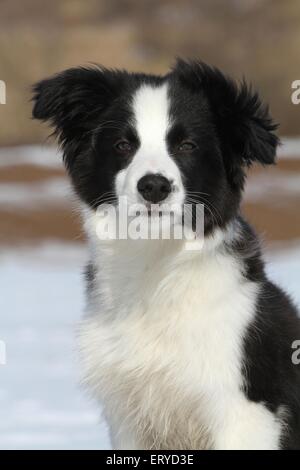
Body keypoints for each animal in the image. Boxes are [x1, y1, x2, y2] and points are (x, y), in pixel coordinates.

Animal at [32, 60, 300, 450]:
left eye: (187, 145)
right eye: (123, 144)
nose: (154, 186)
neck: (158, 265)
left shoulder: (245, 412)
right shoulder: (128, 419)